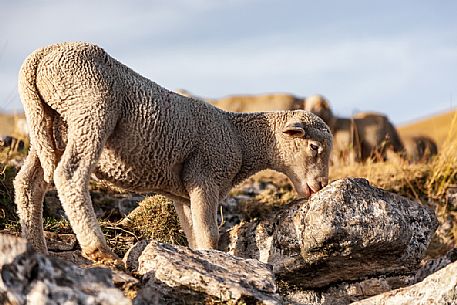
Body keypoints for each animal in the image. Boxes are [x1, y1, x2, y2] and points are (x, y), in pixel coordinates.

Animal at [12, 42, 330, 262]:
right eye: (314, 147)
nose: (321, 185)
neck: (239, 138)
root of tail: (41, 56)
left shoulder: (185, 191)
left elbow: (194, 235)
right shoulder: (205, 176)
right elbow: (210, 234)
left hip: (49, 124)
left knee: (29, 184)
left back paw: (37, 249)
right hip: (91, 108)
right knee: (70, 174)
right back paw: (99, 250)